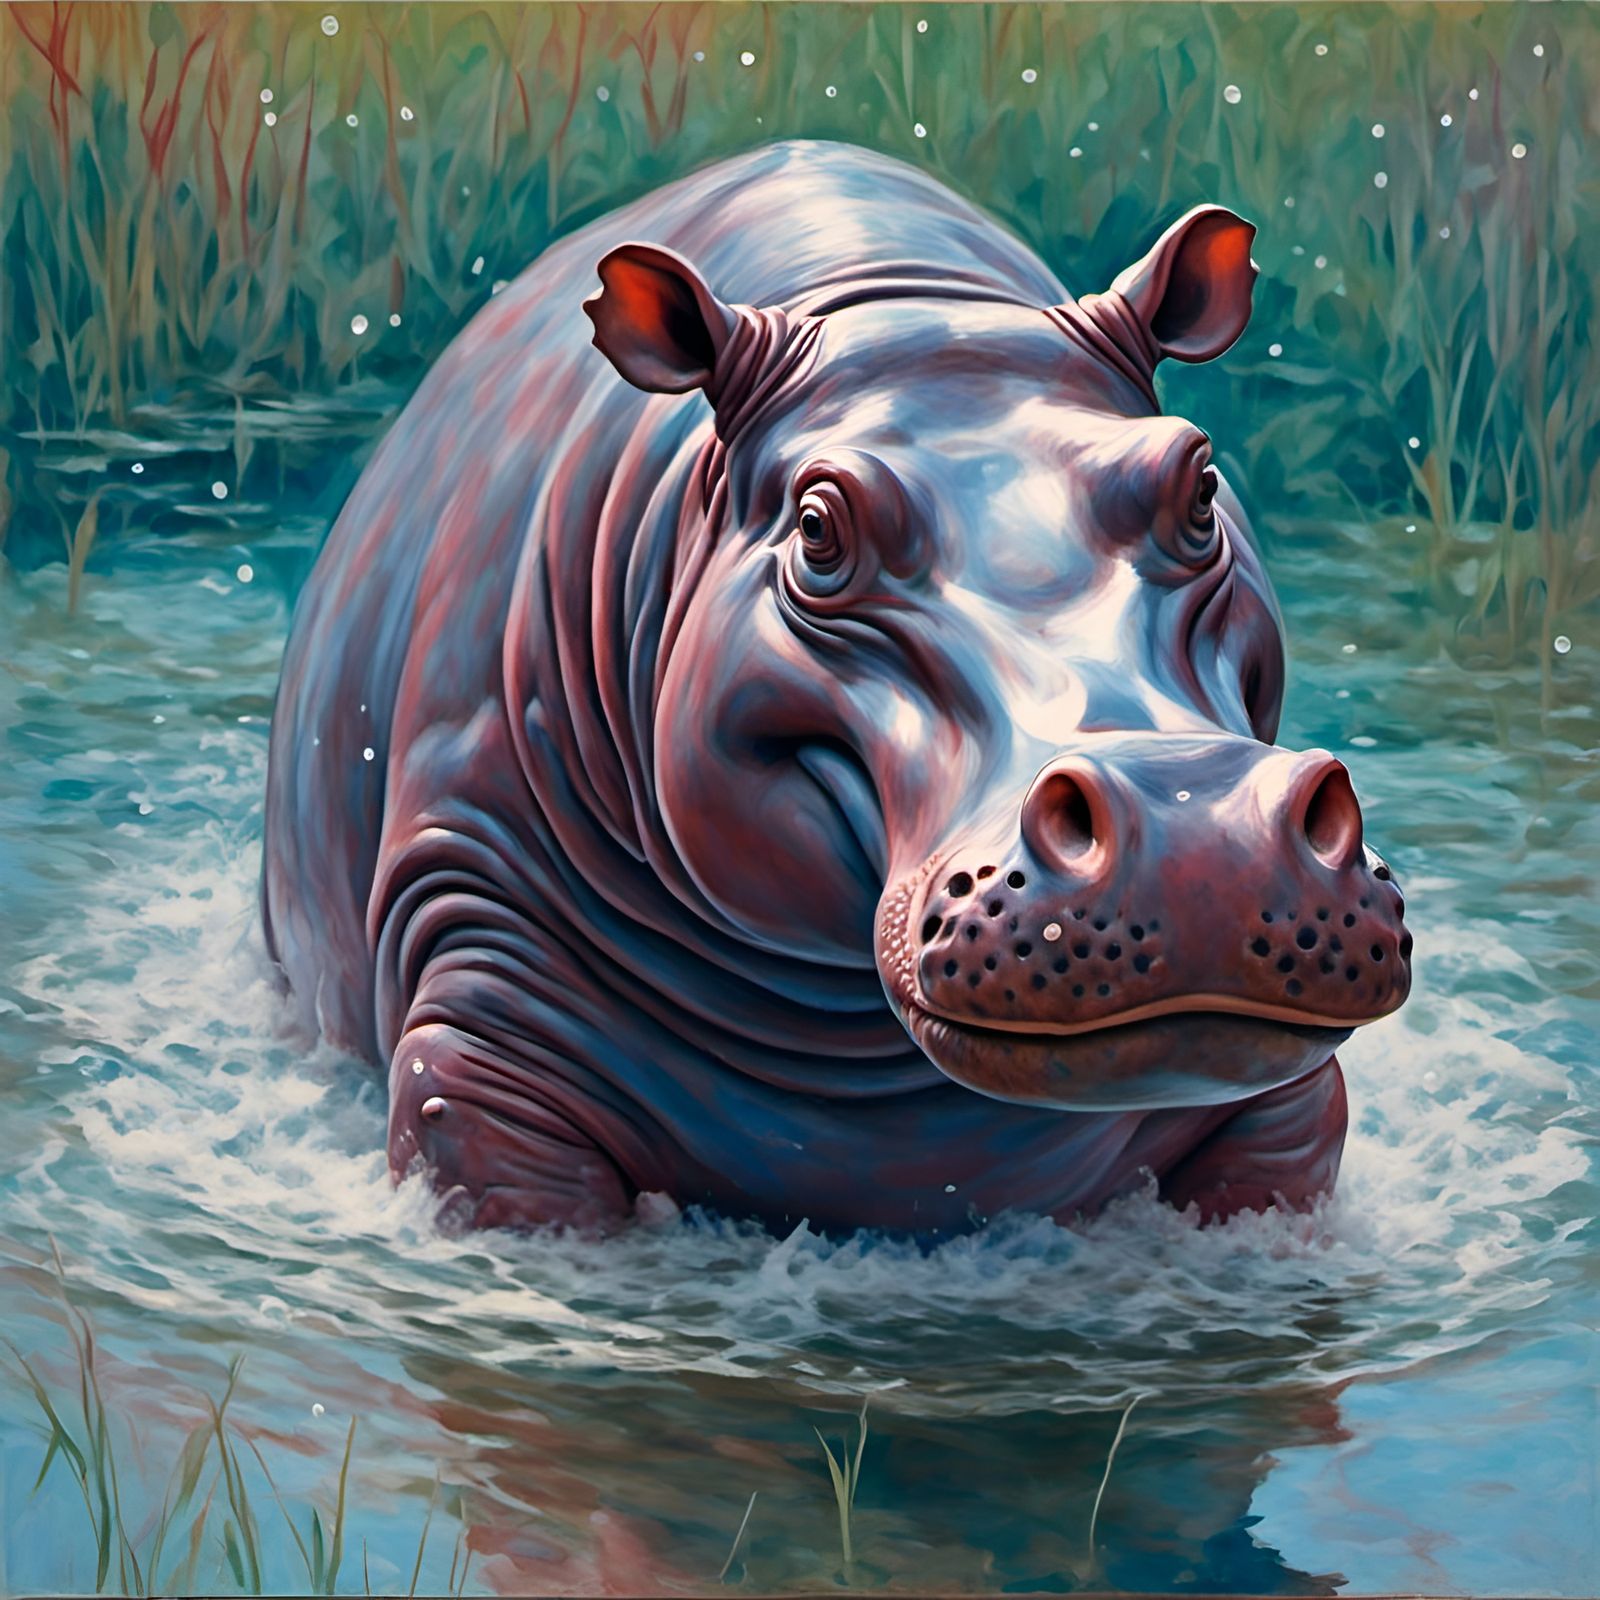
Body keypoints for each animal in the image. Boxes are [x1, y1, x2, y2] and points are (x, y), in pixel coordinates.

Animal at [262, 141, 1411, 1235]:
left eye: (1199, 483)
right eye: (817, 527)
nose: (1198, 834)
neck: (893, 301)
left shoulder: (1284, 1111)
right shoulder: (477, 1040)